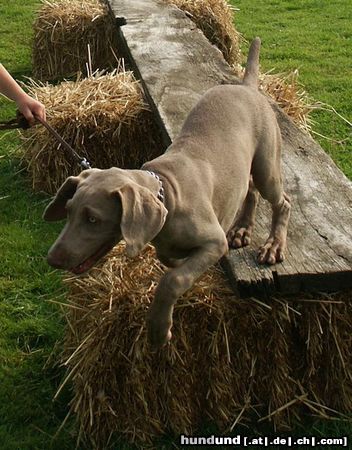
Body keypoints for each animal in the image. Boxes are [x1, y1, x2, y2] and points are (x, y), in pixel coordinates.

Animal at [44, 38, 292, 348]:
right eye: (68, 212)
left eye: (93, 219)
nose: (52, 260)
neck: (167, 191)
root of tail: (245, 86)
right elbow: (170, 262)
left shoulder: (214, 242)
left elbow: (172, 279)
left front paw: (158, 329)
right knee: (250, 191)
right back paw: (242, 229)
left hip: (267, 165)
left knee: (282, 201)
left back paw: (273, 245)